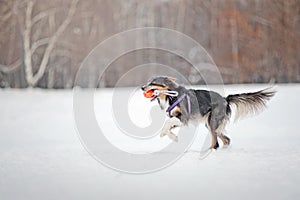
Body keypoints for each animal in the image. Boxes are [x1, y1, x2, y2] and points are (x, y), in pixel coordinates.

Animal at [141, 76, 276, 149]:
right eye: (149, 82)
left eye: (153, 83)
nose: (142, 87)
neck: (171, 96)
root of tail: (225, 99)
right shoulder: (177, 118)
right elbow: (169, 126)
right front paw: (173, 137)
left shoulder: (184, 117)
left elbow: (167, 123)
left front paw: (164, 133)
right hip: (211, 124)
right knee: (226, 140)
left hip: (212, 122)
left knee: (216, 143)